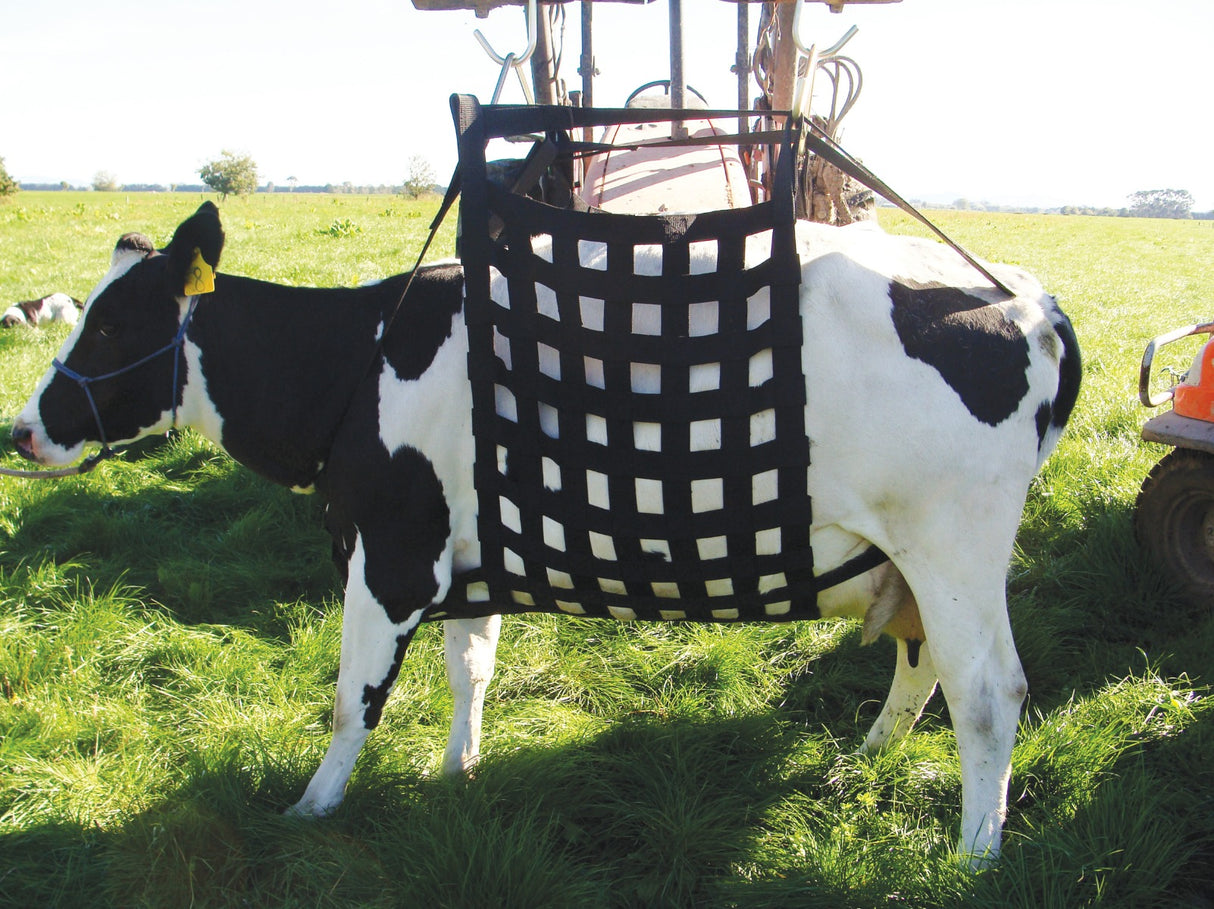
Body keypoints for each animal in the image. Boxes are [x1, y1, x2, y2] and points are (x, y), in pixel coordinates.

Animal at [11, 201, 1080, 865]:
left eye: (109, 328)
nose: (21, 428)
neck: (367, 355)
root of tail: (1023, 293)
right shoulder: (460, 554)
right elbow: (468, 667)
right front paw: (458, 769)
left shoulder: (390, 550)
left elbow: (355, 700)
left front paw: (310, 810)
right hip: (911, 560)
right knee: (922, 665)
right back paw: (864, 760)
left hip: (952, 544)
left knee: (989, 693)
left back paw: (973, 854)